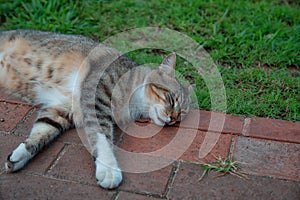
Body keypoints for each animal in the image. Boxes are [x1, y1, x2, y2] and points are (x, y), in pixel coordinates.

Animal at [0, 29, 192, 189]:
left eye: (181, 114)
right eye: (172, 100)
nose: (173, 118)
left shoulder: (61, 109)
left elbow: (42, 132)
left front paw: (20, 155)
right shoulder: (95, 99)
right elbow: (102, 136)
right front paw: (109, 169)